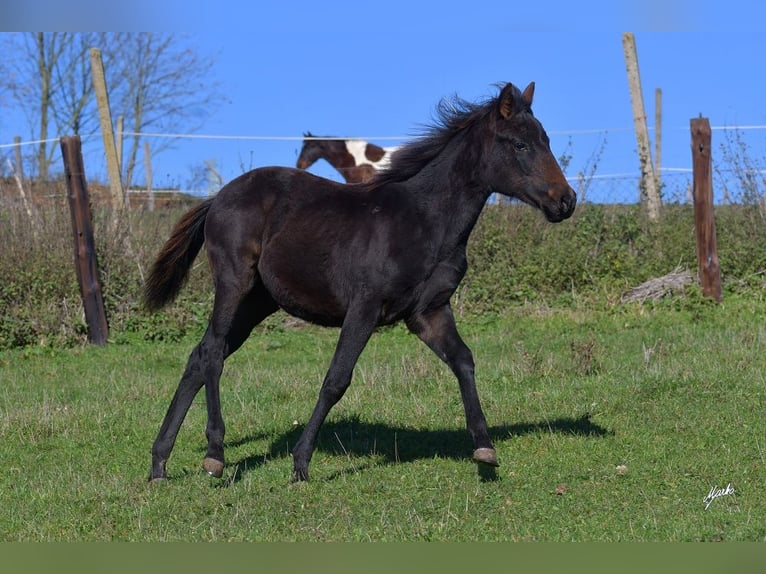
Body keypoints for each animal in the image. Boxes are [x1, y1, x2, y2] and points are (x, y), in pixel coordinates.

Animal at [144, 82, 576, 486]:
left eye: (547, 141)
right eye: (520, 144)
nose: (566, 200)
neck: (424, 221)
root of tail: (219, 196)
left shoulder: (429, 312)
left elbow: (464, 360)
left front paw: (485, 449)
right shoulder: (365, 307)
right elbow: (336, 379)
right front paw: (301, 464)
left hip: (257, 302)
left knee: (199, 356)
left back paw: (159, 463)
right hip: (235, 282)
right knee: (213, 354)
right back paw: (214, 453)